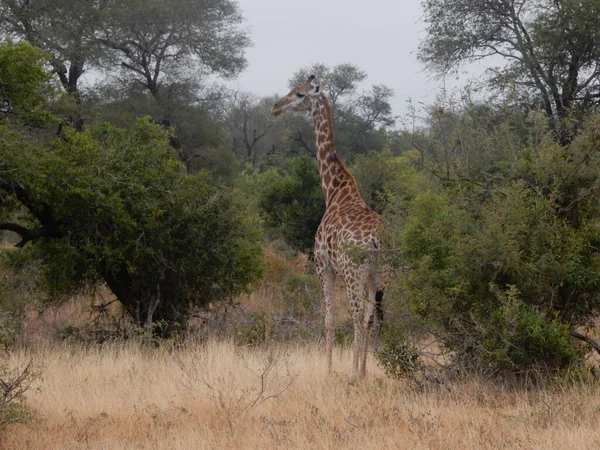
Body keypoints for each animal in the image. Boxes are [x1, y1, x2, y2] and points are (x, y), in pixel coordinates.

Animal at [270, 74, 386, 380]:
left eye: (299, 94)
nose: (275, 107)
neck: (333, 190)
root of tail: (376, 241)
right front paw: (357, 369)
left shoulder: (324, 266)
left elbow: (329, 317)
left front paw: (329, 368)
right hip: (380, 274)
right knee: (369, 315)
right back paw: (363, 371)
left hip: (353, 271)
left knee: (356, 314)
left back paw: (353, 374)